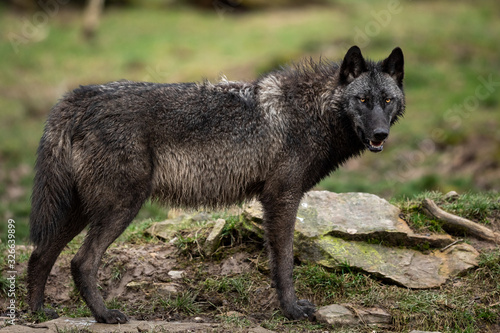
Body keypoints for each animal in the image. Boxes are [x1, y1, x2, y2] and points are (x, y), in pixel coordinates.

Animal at [27, 44, 404, 322]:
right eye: (362, 100)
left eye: (387, 100)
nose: (379, 134)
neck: (313, 113)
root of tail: (80, 95)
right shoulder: (282, 197)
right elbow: (283, 263)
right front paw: (293, 311)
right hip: (120, 207)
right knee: (81, 262)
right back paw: (105, 316)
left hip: (82, 210)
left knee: (41, 254)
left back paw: (39, 314)